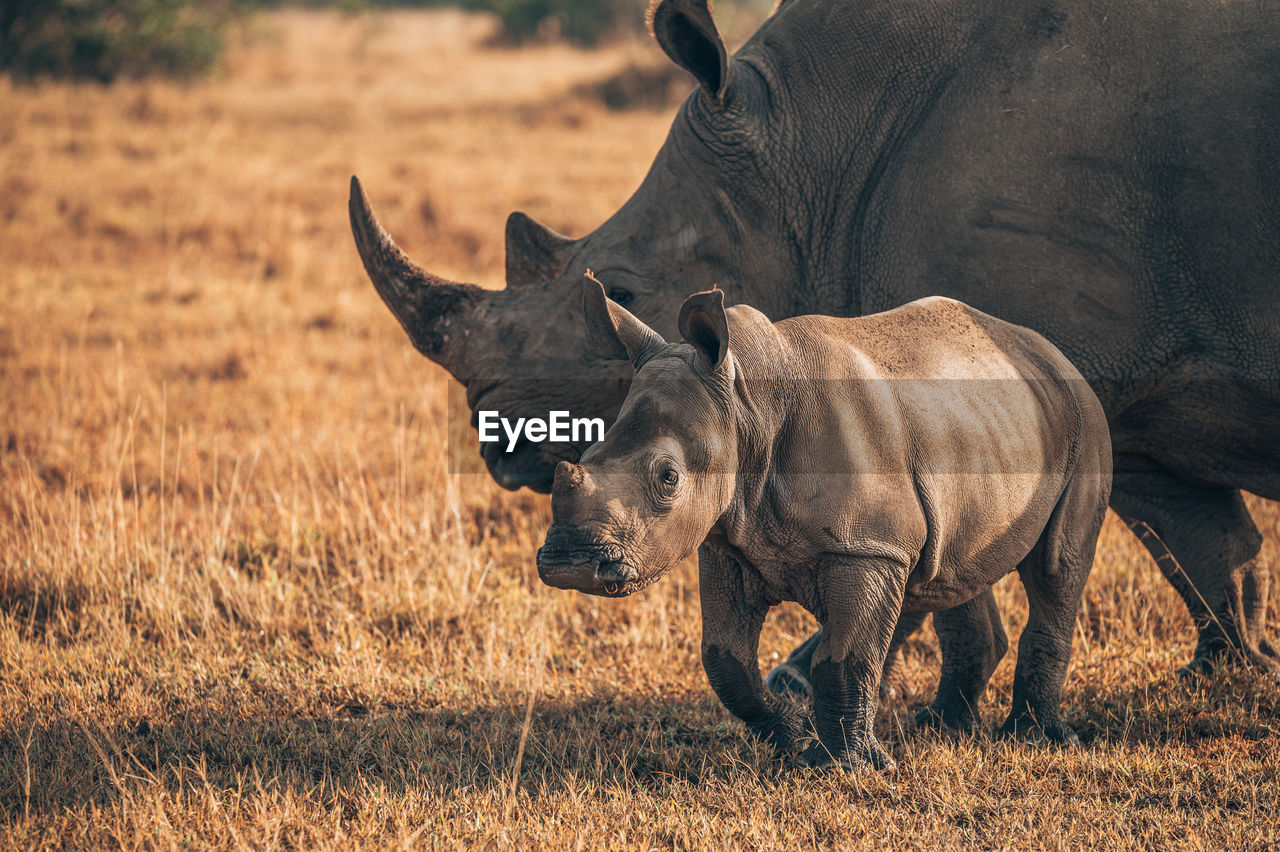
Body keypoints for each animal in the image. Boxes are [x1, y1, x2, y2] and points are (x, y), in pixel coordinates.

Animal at [350, 0, 1280, 680]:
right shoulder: (1117, 379)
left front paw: (799, 685)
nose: (500, 441)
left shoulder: (1052, 370)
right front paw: (1234, 671)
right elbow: (1200, 536)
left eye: (616, 295)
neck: (811, 147)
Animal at [535, 280, 1105, 767]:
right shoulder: (726, 540)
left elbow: (843, 657)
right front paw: (794, 736)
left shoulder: (867, 548)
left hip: (1083, 417)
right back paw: (940, 728)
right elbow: (725, 661)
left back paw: (1032, 738)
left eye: (668, 478)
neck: (748, 405)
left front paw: (843, 767)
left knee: (1057, 566)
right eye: (584, 455)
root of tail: (1049, 349)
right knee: (952, 571)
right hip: (978, 426)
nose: (569, 564)